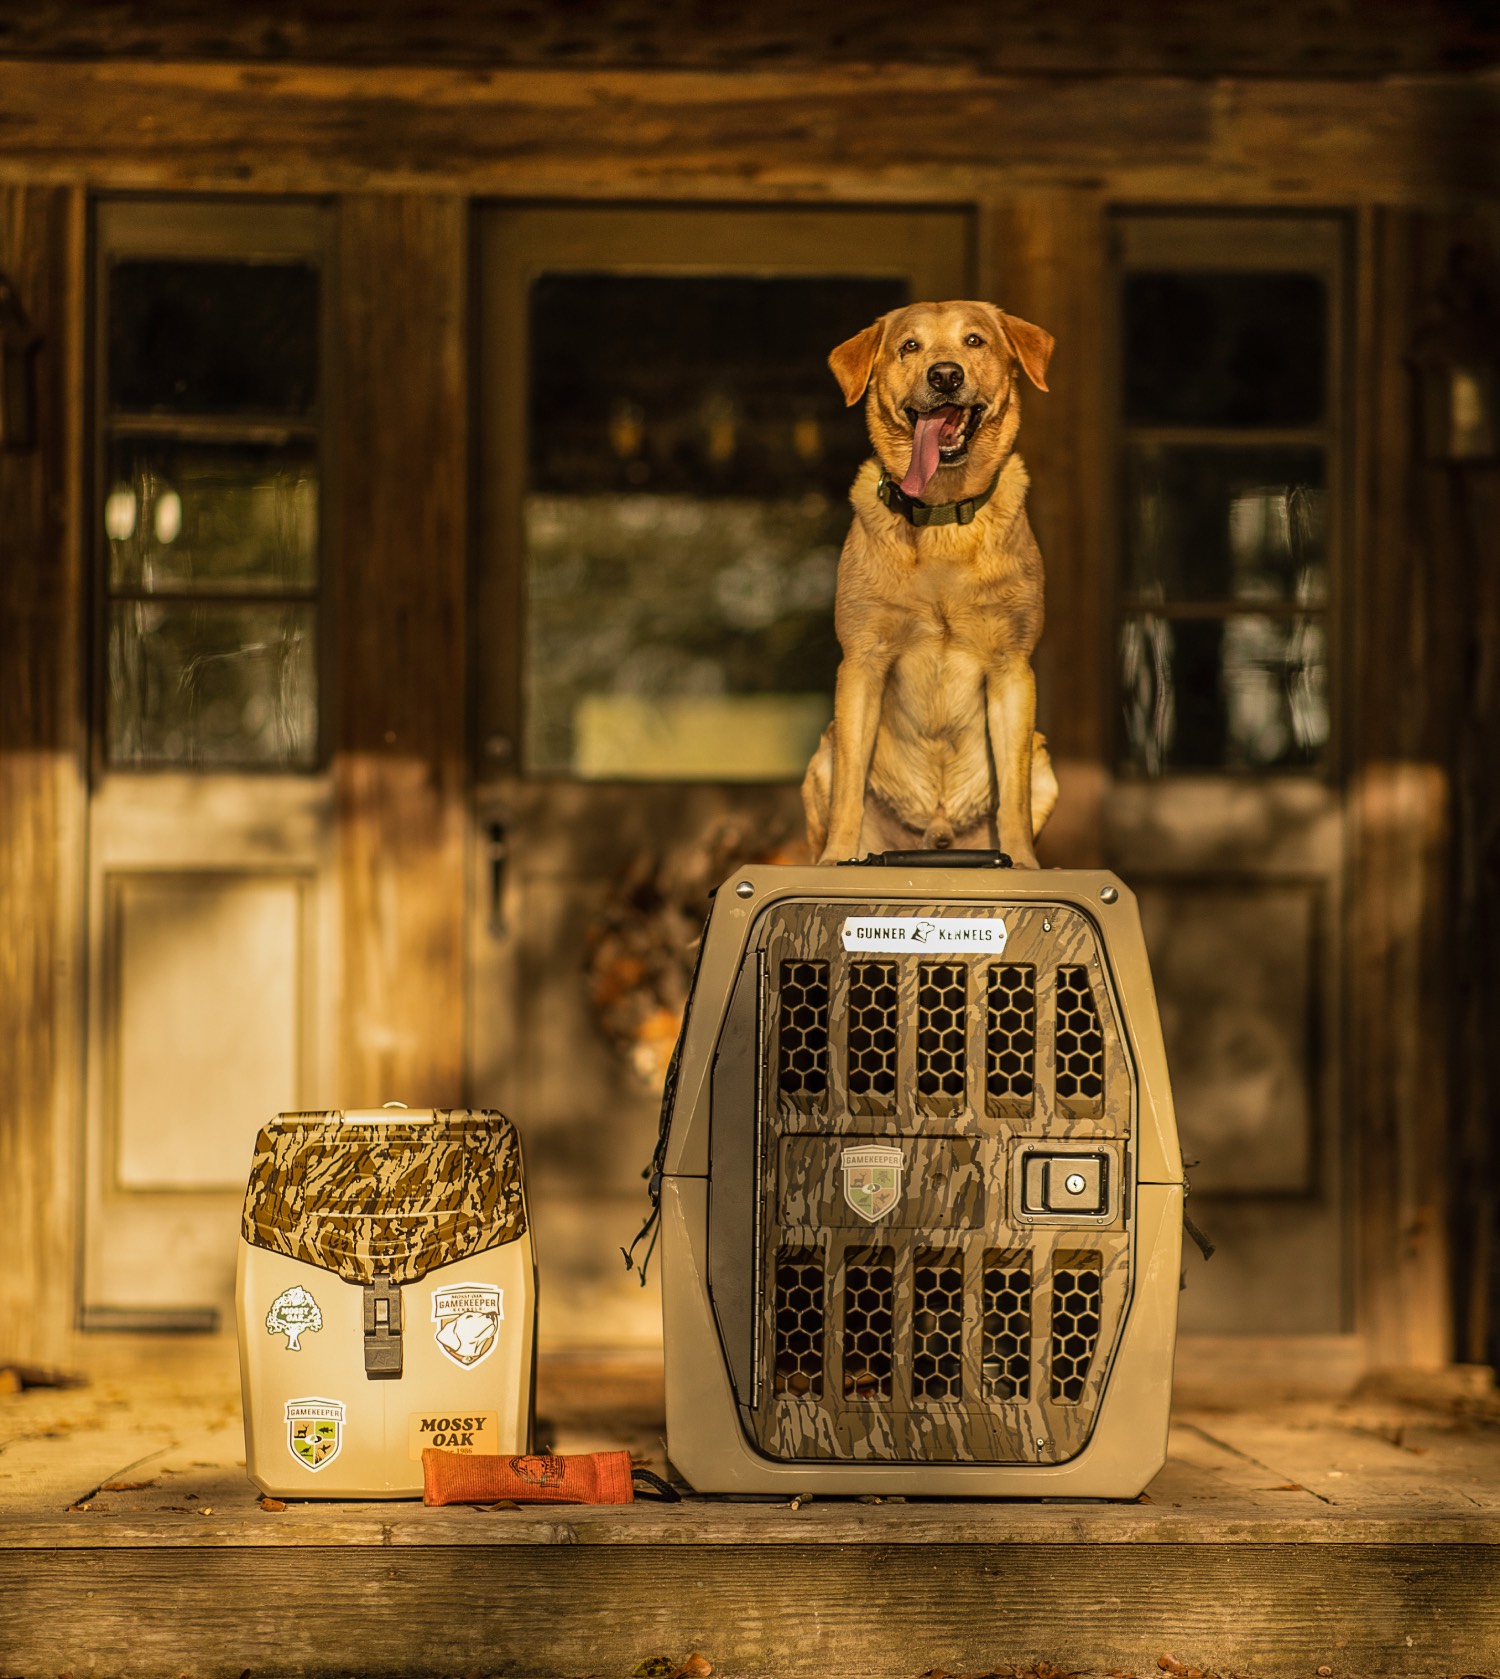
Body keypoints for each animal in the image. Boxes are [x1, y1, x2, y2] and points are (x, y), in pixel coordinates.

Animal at [802, 298, 1061, 866]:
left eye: (974, 340)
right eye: (910, 346)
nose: (945, 375)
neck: (942, 514)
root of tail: (937, 832)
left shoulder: (1011, 668)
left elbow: (1013, 796)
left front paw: (1023, 864)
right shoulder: (862, 662)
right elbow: (850, 787)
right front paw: (837, 858)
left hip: (1042, 757)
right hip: (823, 752)